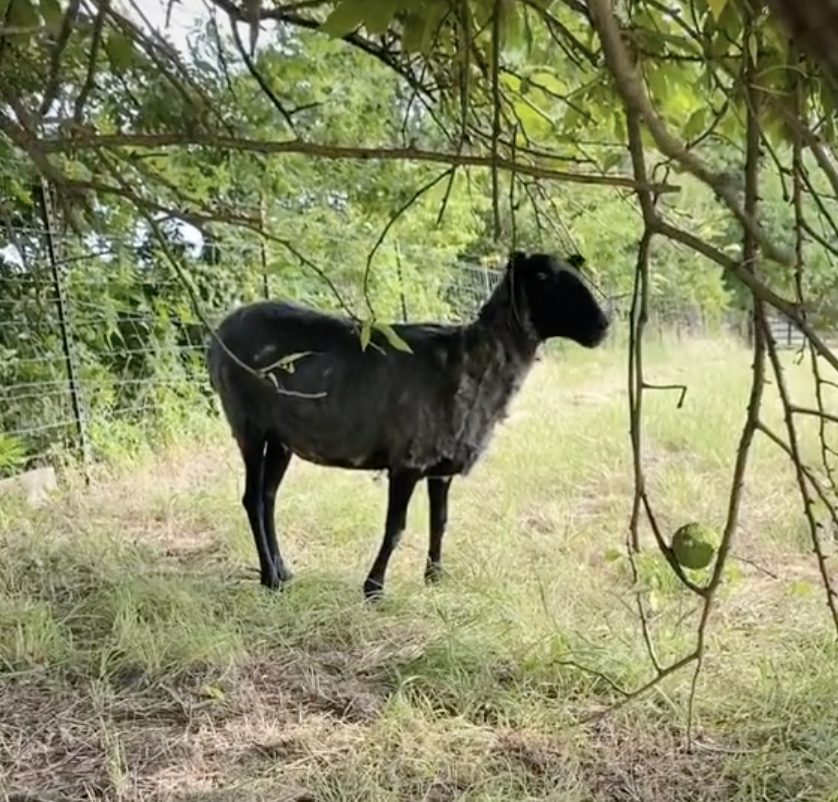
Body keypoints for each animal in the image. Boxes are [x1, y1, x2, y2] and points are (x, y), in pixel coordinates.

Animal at [205, 253, 612, 596]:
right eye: (542, 276)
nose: (603, 325)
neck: (474, 360)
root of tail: (219, 333)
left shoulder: (440, 466)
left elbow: (440, 521)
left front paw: (435, 577)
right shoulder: (408, 458)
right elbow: (395, 528)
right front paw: (373, 589)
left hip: (281, 437)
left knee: (268, 497)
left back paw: (282, 571)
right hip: (247, 421)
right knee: (252, 498)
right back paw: (271, 580)